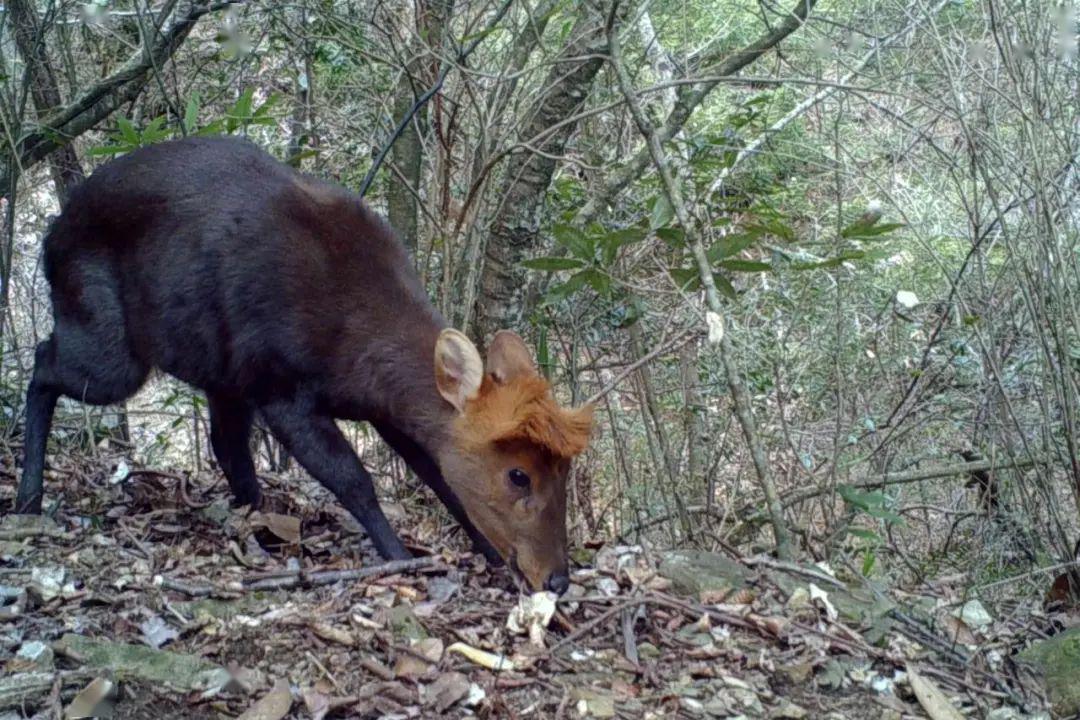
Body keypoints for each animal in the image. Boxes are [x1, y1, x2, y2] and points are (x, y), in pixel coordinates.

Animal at [14, 138, 591, 595]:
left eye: (563, 471)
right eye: (518, 475)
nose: (557, 579)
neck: (355, 335)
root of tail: (50, 237)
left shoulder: (381, 407)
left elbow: (439, 475)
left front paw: (486, 553)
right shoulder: (281, 386)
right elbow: (352, 478)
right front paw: (400, 556)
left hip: (219, 370)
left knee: (225, 443)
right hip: (113, 348)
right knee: (43, 363)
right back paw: (28, 497)